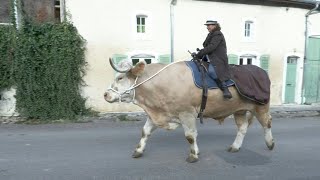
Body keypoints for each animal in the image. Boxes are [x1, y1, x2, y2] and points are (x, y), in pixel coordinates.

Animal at [104, 59, 274, 163]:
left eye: (120, 78)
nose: (105, 94)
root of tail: (261, 70)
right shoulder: (156, 114)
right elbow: (145, 132)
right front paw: (138, 151)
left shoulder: (187, 113)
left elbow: (190, 136)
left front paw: (193, 155)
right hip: (239, 109)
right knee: (243, 127)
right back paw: (235, 147)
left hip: (261, 106)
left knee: (267, 123)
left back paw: (270, 143)